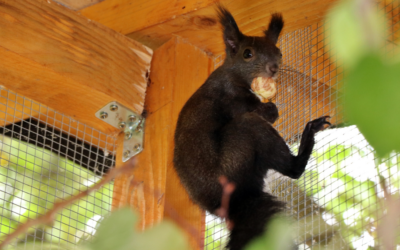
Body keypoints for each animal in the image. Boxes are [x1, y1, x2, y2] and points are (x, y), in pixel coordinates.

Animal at [173, 5, 330, 250]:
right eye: (247, 54)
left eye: (279, 52)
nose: (273, 68)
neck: (234, 74)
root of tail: (238, 200)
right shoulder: (232, 99)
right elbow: (266, 112)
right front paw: (272, 108)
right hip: (243, 141)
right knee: (293, 169)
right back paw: (309, 134)